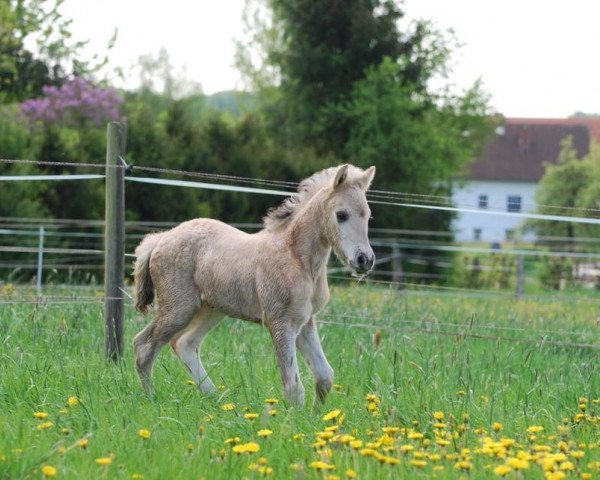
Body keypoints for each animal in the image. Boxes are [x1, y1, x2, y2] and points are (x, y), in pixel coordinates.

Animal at [133, 164, 376, 404]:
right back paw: (151, 401)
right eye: (341, 215)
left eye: (368, 215)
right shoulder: (280, 321)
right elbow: (293, 387)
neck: (297, 258)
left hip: (211, 309)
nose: (364, 260)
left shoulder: (305, 321)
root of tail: (160, 238)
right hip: (178, 309)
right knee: (143, 346)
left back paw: (217, 400)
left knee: (184, 343)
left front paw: (317, 414)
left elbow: (324, 376)